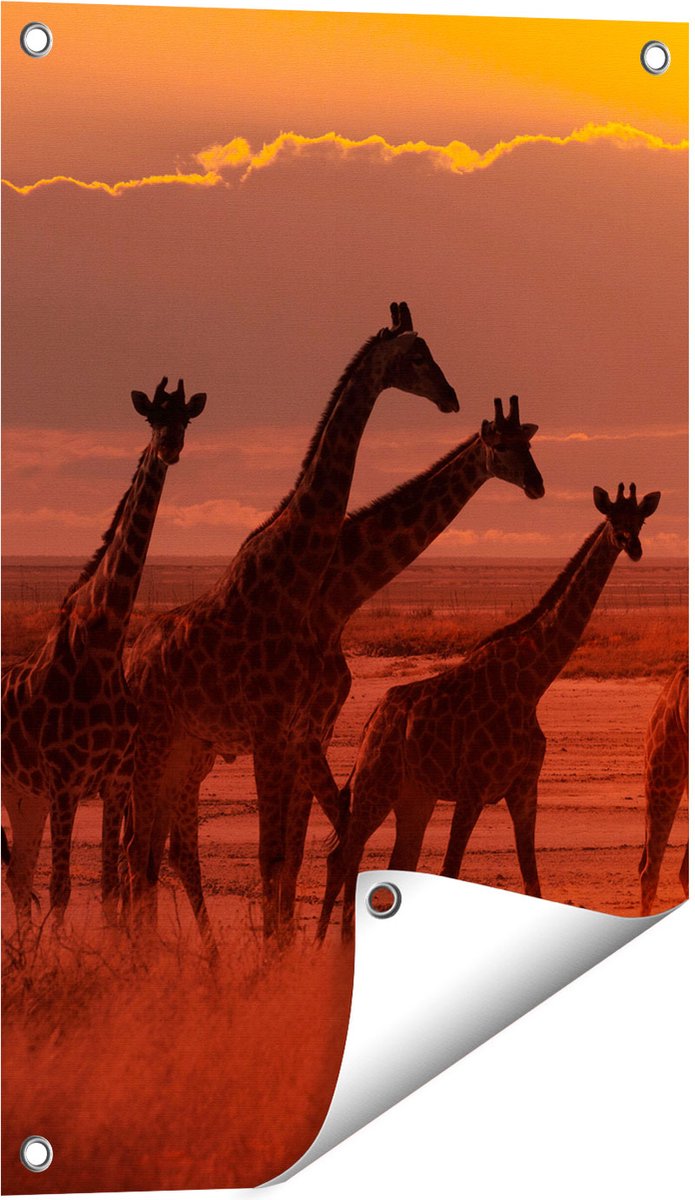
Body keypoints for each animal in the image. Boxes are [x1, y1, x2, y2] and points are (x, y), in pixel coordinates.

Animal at [1, 378, 206, 931]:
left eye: (185, 418)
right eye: (151, 417)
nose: (169, 447)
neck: (104, 639)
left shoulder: (113, 781)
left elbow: (112, 889)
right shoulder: (64, 782)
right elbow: (62, 889)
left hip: (22, 796)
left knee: (18, 877)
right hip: (25, 792)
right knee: (23, 879)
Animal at [124, 303, 459, 949]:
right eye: (416, 354)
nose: (451, 396)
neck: (297, 579)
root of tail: (128, 661)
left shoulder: (297, 732)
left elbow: (291, 854)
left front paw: (281, 951)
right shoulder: (271, 731)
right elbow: (274, 854)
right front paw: (273, 958)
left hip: (183, 747)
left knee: (149, 849)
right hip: (153, 745)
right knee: (138, 849)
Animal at [319, 482, 661, 940]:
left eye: (640, 520)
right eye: (612, 519)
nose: (633, 546)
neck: (531, 683)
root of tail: (373, 719)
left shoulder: (523, 788)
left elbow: (532, 879)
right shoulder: (472, 789)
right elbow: (451, 870)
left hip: (415, 795)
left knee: (394, 861)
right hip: (377, 785)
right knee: (344, 857)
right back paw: (320, 947)